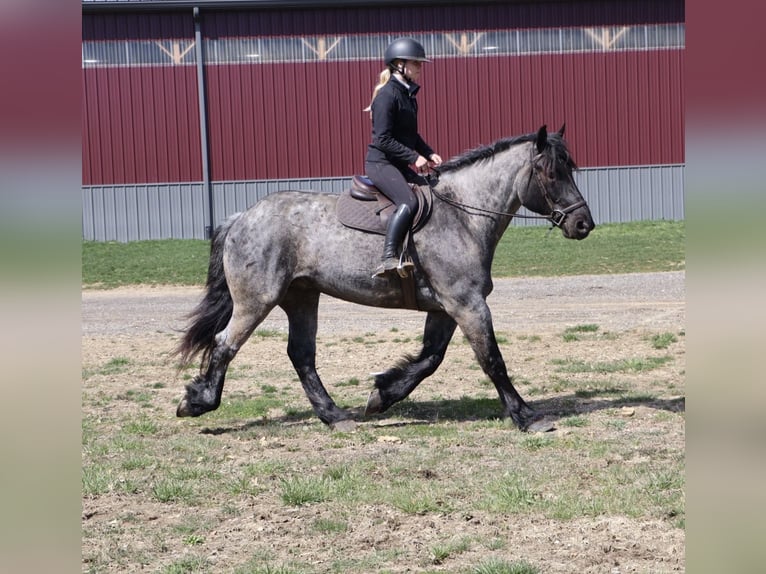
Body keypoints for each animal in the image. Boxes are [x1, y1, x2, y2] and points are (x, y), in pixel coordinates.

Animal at [175, 124, 594, 432]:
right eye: (551, 173)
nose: (583, 224)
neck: (462, 215)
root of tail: (242, 217)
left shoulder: (447, 307)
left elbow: (431, 358)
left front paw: (382, 395)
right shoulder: (467, 304)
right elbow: (492, 359)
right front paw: (526, 416)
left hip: (301, 296)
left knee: (301, 355)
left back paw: (335, 416)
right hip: (257, 300)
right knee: (225, 343)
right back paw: (197, 402)